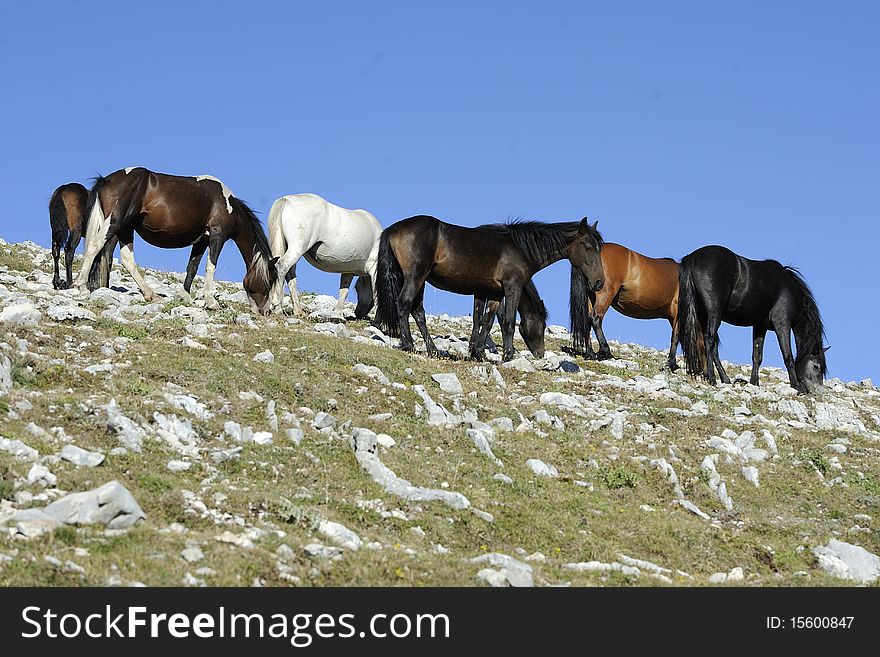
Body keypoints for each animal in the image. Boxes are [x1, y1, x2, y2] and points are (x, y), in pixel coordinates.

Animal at [79, 168, 280, 314]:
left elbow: (192, 267)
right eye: (269, 281)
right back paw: (81, 286)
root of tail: (106, 179)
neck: (229, 206)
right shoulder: (217, 236)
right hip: (115, 223)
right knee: (94, 247)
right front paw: (211, 302)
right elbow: (210, 267)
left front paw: (185, 296)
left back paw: (152, 295)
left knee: (128, 260)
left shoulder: (202, 240)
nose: (265, 311)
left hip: (126, 229)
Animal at [374, 214, 600, 358]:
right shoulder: (512, 287)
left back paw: (433, 349)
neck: (520, 249)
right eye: (588, 247)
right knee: (404, 304)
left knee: (417, 311)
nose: (540, 354)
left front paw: (478, 352)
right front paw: (508, 355)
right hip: (415, 276)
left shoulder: (492, 292)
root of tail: (393, 229)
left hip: (420, 280)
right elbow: (508, 321)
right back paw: (408, 344)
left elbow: (485, 320)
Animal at [568, 243, 684, 372]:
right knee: (596, 319)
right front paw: (671, 364)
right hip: (604, 294)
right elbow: (675, 337)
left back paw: (591, 354)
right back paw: (606, 352)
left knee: (586, 322)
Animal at [676, 243, 828, 392]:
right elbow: (788, 356)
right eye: (816, 366)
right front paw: (795, 386)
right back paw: (712, 378)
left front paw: (754, 382)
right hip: (714, 312)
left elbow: (757, 355)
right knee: (709, 340)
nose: (818, 391)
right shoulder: (782, 324)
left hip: (702, 314)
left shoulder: (760, 326)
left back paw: (724, 379)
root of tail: (692, 257)